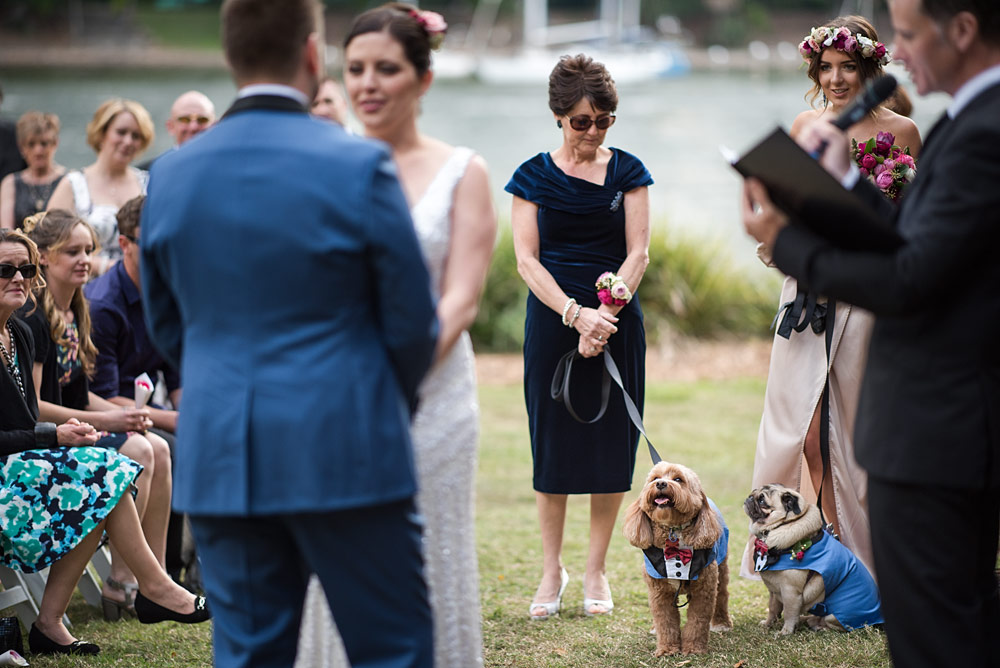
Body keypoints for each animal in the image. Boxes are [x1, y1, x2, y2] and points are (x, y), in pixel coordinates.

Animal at [620, 462, 732, 656]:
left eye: (678, 479)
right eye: (655, 478)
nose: (660, 484)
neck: (674, 532)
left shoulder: (704, 589)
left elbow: (697, 621)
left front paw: (693, 648)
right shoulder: (659, 592)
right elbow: (665, 622)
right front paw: (667, 649)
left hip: (721, 566)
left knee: (722, 594)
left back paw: (721, 622)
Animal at [744, 482, 884, 636]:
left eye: (762, 500)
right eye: (754, 492)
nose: (750, 497)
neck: (782, 525)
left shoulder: (790, 592)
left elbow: (789, 613)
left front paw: (785, 632)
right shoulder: (774, 592)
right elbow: (773, 609)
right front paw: (768, 624)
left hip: (834, 615)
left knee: (837, 626)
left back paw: (818, 625)